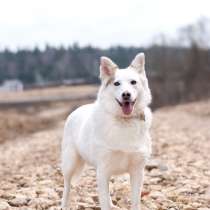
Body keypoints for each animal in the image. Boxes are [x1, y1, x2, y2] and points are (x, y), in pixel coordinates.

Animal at [61, 52, 152, 210]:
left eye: (133, 82)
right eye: (117, 83)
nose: (126, 94)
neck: (124, 121)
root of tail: (77, 109)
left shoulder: (137, 172)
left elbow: (135, 201)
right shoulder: (103, 171)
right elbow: (103, 201)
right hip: (70, 163)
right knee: (67, 186)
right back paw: (64, 205)